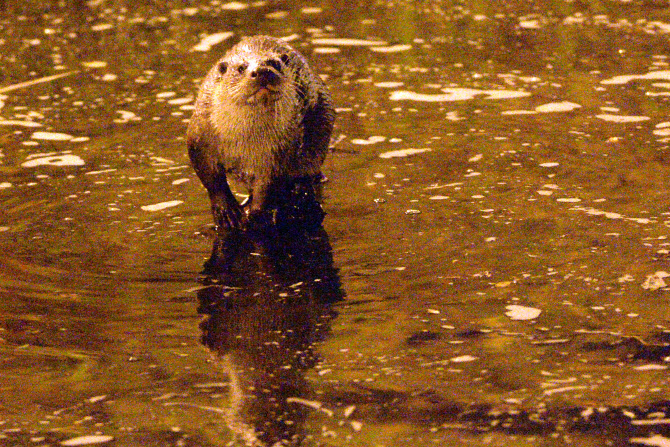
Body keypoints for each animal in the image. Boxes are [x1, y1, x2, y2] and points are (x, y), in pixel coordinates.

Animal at [186, 34, 336, 229]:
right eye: (241, 68)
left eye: (274, 63)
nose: (261, 70)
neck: (243, 141)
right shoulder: (199, 139)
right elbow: (211, 180)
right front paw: (226, 210)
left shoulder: (281, 150)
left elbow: (269, 183)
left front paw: (257, 212)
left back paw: (301, 191)